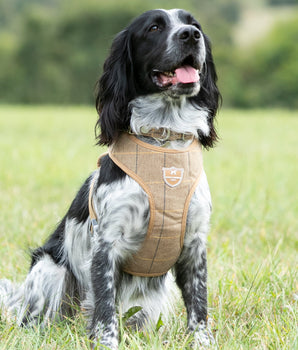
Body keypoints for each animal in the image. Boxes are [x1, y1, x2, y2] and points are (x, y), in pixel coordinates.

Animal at [0, 8, 220, 350]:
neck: (164, 143)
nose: (190, 36)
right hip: (50, 270)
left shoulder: (195, 244)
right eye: (154, 28)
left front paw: (202, 342)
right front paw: (105, 342)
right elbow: (104, 311)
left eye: (193, 25)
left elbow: (198, 305)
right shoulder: (106, 245)